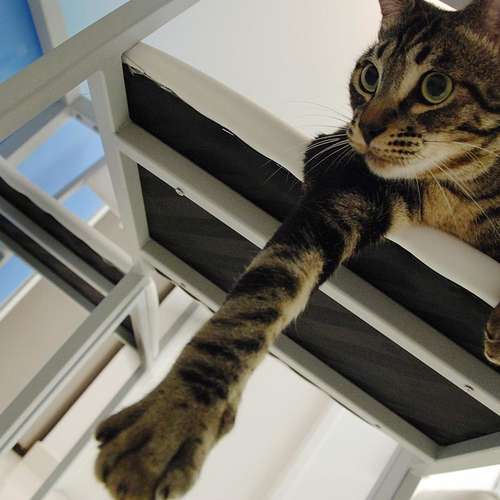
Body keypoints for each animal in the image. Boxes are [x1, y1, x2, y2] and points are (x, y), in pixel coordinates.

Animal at [95, 0, 500, 498]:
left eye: (436, 86)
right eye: (369, 76)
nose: (365, 128)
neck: (468, 195)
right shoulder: (344, 178)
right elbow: (255, 303)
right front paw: (171, 421)